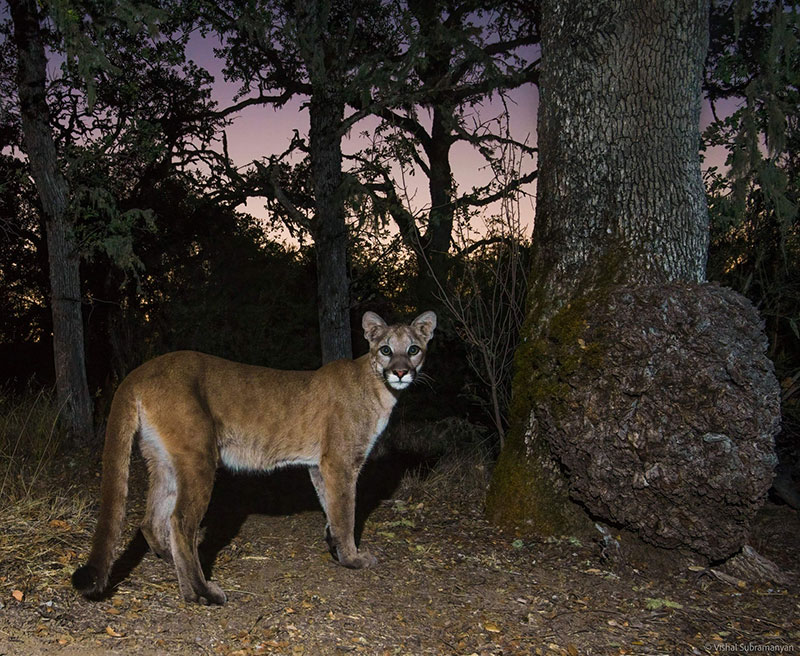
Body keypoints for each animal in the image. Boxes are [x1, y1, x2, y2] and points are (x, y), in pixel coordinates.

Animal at [72, 312, 438, 604]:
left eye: (414, 349)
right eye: (386, 349)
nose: (401, 372)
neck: (377, 387)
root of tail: (141, 370)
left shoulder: (319, 465)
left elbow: (331, 508)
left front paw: (334, 546)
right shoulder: (340, 461)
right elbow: (346, 512)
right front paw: (352, 557)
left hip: (164, 461)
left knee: (152, 520)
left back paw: (180, 579)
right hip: (199, 456)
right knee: (180, 523)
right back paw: (204, 592)